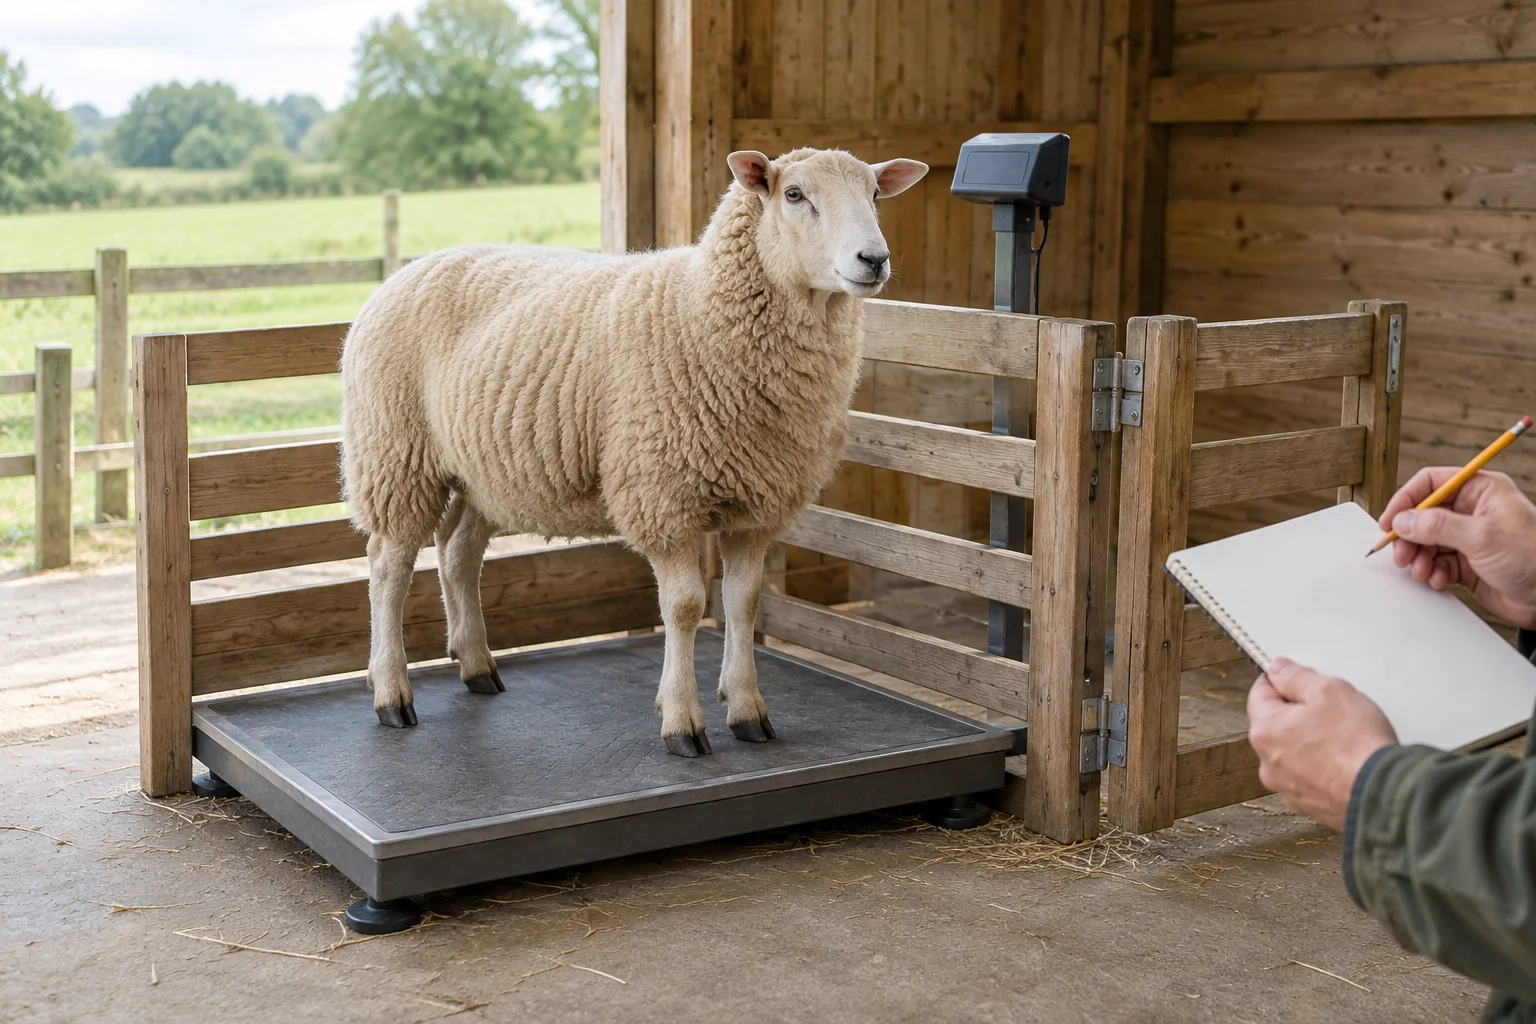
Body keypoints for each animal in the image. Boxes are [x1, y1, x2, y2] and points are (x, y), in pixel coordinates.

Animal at [341, 147, 928, 756]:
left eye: (875, 194)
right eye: (794, 194)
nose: (874, 259)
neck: (699, 308)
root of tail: (403, 271)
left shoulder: (757, 505)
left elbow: (742, 602)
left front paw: (747, 711)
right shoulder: (662, 495)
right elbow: (686, 606)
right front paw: (683, 722)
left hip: (484, 470)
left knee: (458, 552)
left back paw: (477, 666)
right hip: (395, 454)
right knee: (387, 568)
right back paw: (392, 695)